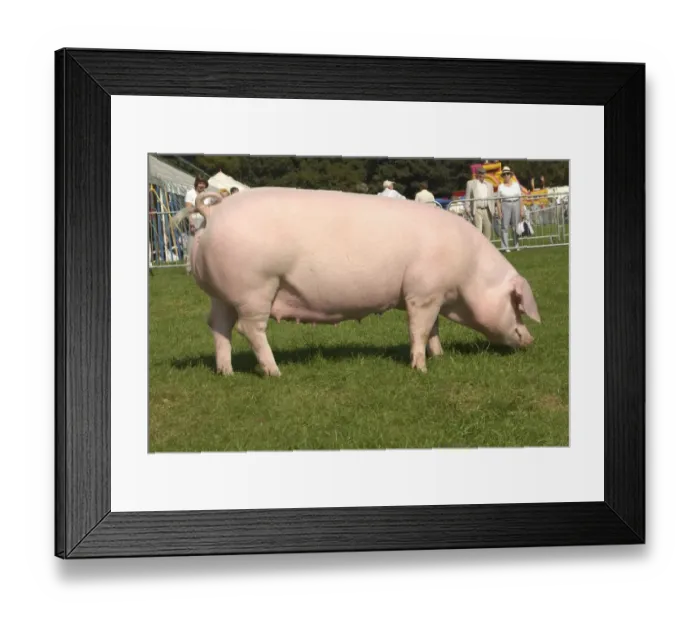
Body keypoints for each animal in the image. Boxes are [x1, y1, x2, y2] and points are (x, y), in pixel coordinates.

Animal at [172, 186, 540, 377]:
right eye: (516, 304)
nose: (531, 340)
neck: (468, 274)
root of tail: (214, 214)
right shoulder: (421, 293)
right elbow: (419, 329)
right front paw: (420, 369)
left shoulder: (430, 294)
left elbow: (433, 328)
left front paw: (439, 357)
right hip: (255, 287)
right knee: (249, 328)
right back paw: (275, 372)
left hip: (221, 294)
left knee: (218, 326)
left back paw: (227, 372)